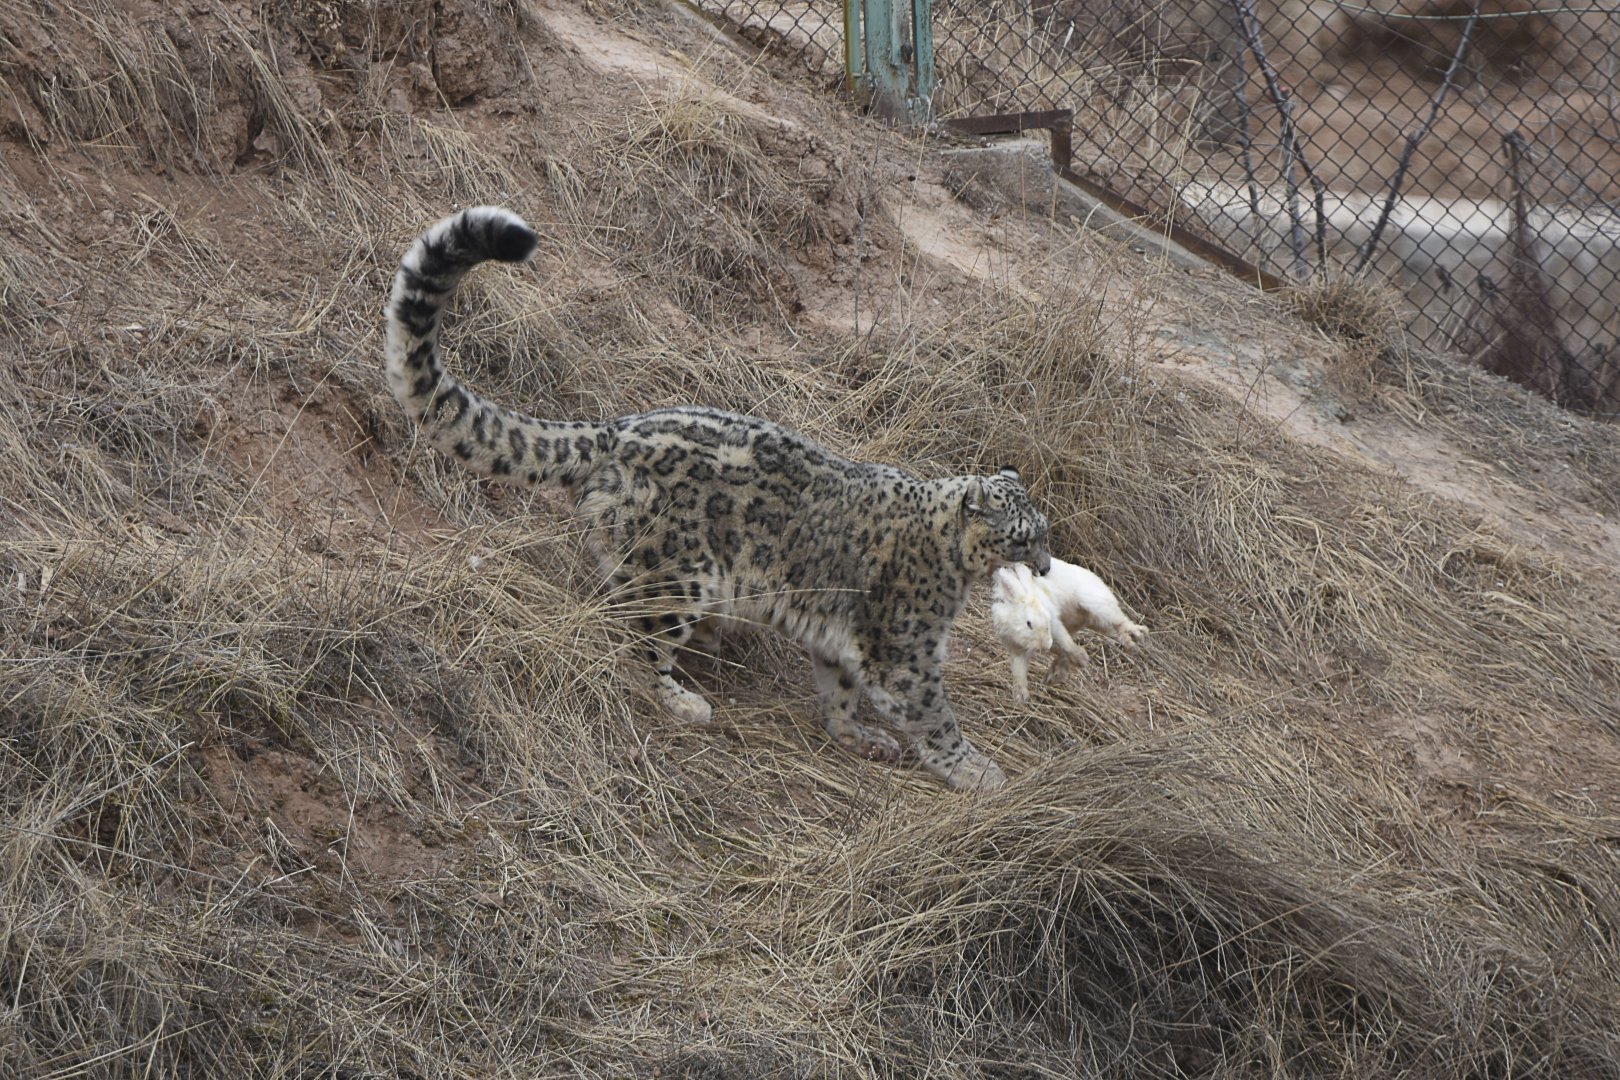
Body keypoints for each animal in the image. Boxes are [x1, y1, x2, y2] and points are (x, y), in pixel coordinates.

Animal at [384, 206, 1052, 790]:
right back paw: (684, 699)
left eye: (1044, 531)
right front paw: (978, 772)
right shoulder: (906, 651)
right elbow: (934, 715)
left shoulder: (845, 643)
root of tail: (615, 429)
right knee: (637, 639)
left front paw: (858, 735)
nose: (1047, 566)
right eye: (1025, 535)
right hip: (678, 575)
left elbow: (839, 688)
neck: (952, 562)